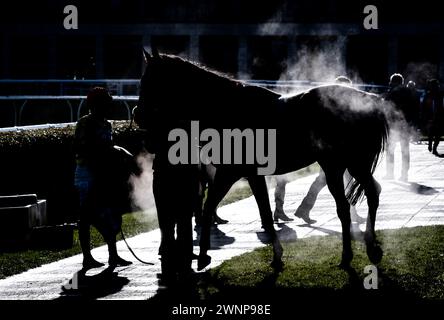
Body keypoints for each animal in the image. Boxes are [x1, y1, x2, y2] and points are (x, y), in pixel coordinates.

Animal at [136, 48, 388, 272]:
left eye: (150, 80)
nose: (138, 114)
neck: (226, 108)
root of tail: (370, 101)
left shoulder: (231, 173)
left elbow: (218, 209)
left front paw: (205, 256)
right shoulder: (247, 175)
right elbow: (258, 212)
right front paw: (275, 256)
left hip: (340, 165)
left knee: (350, 204)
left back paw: (350, 255)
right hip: (350, 165)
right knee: (370, 194)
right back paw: (368, 248)